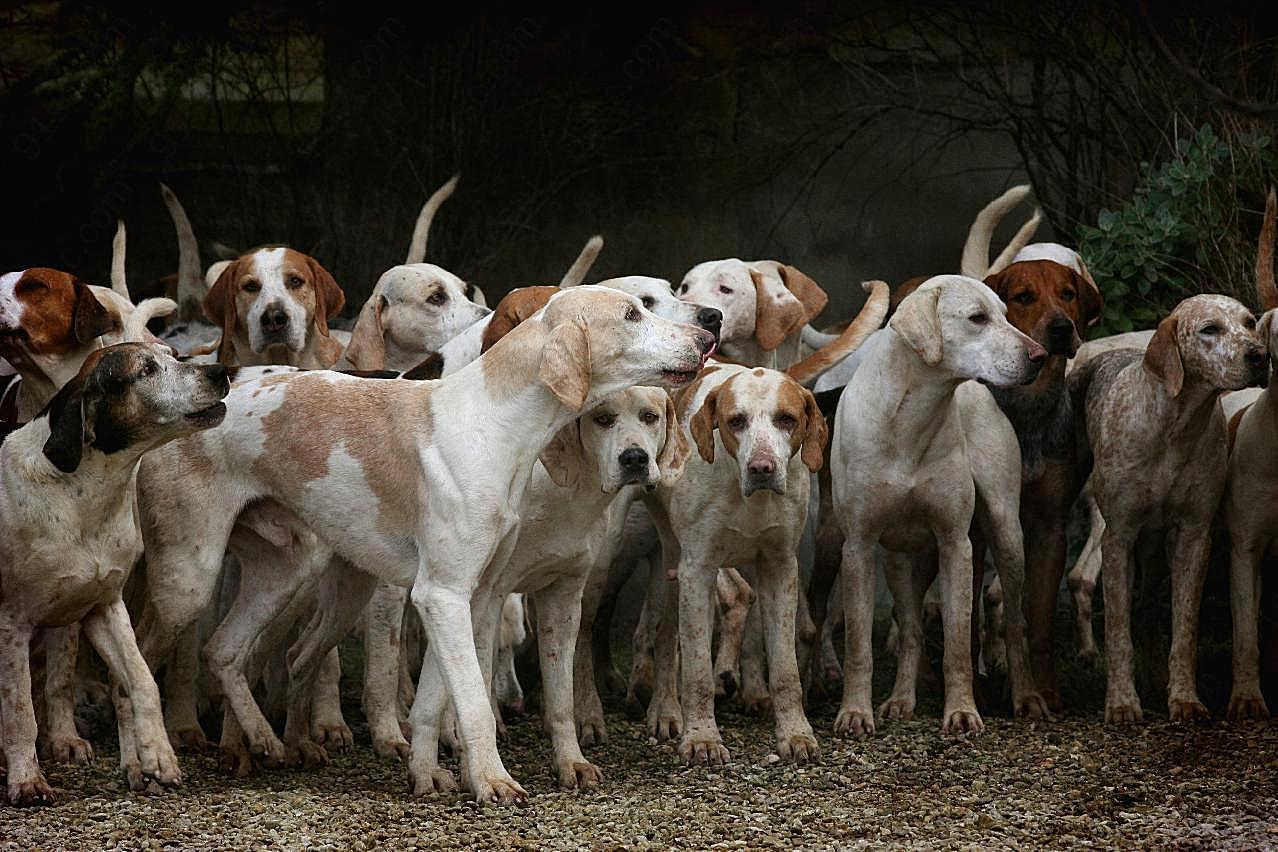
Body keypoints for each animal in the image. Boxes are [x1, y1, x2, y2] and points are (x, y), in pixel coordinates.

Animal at [0, 342, 227, 807]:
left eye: (174, 355)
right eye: (145, 370)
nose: (221, 372)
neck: (81, 494)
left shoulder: (105, 607)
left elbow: (141, 680)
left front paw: (156, 755)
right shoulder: (12, 622)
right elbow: (19, 712)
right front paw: (27, 780)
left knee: (60, 684)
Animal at [133, 288, 715, 807]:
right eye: (633, 313)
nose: (708, 335)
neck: (492, 425)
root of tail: (193, 405)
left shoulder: (469, 597)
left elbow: (435, 702)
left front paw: (428, 776)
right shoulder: (444, 595)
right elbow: (474, 702)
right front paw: (493, 782)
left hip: (290, 574)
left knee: (225, 651)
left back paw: (266, 740)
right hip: (190, 579)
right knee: (139, 661)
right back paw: (150, 760)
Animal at [828, 277, 1047, 735]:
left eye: (1006, 314)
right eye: (977, 318)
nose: (1040, 355)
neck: (910, 419)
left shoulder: (955, 544)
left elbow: (958, 642)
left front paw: (962, 711)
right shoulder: (857, 547)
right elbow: (859, 645)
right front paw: (854, 712)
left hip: (1007, 533)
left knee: (1014, 621)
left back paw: (1027, 696)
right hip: (899, 560)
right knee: (910, 627)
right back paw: (900, 700)